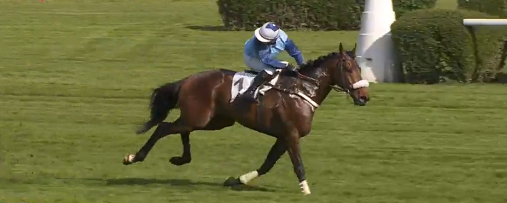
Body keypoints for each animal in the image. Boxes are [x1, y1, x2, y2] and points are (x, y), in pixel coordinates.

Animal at [122, 42, 370, 195]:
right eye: (348, 68)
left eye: (360, 67)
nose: (364, 97)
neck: (303, 89)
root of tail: (188, 79)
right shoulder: (290, 134)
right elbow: (298, 165)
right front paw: (306, 191)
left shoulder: (284, 136)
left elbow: (268, 164)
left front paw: (237, 180)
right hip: (200, 117)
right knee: (164, 127)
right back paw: (134, 157)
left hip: (214, 120)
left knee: (183, 129)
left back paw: (181, 159)